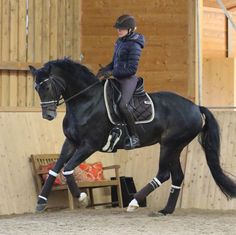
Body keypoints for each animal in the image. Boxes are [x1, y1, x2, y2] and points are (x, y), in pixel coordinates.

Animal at [29, 57, 236, 214]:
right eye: (36, 88)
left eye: (47, 87)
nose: (48, 115)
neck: (85, 101)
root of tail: (195, 107)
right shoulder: (71, 142)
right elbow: (55, 168)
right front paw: (41, 201)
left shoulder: (89, 145)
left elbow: (68, 168)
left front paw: (81, 197)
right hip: (174, 147)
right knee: (177, 176)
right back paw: (166, 210)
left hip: (170, 145)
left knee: (164, 174)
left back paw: (134, 202)